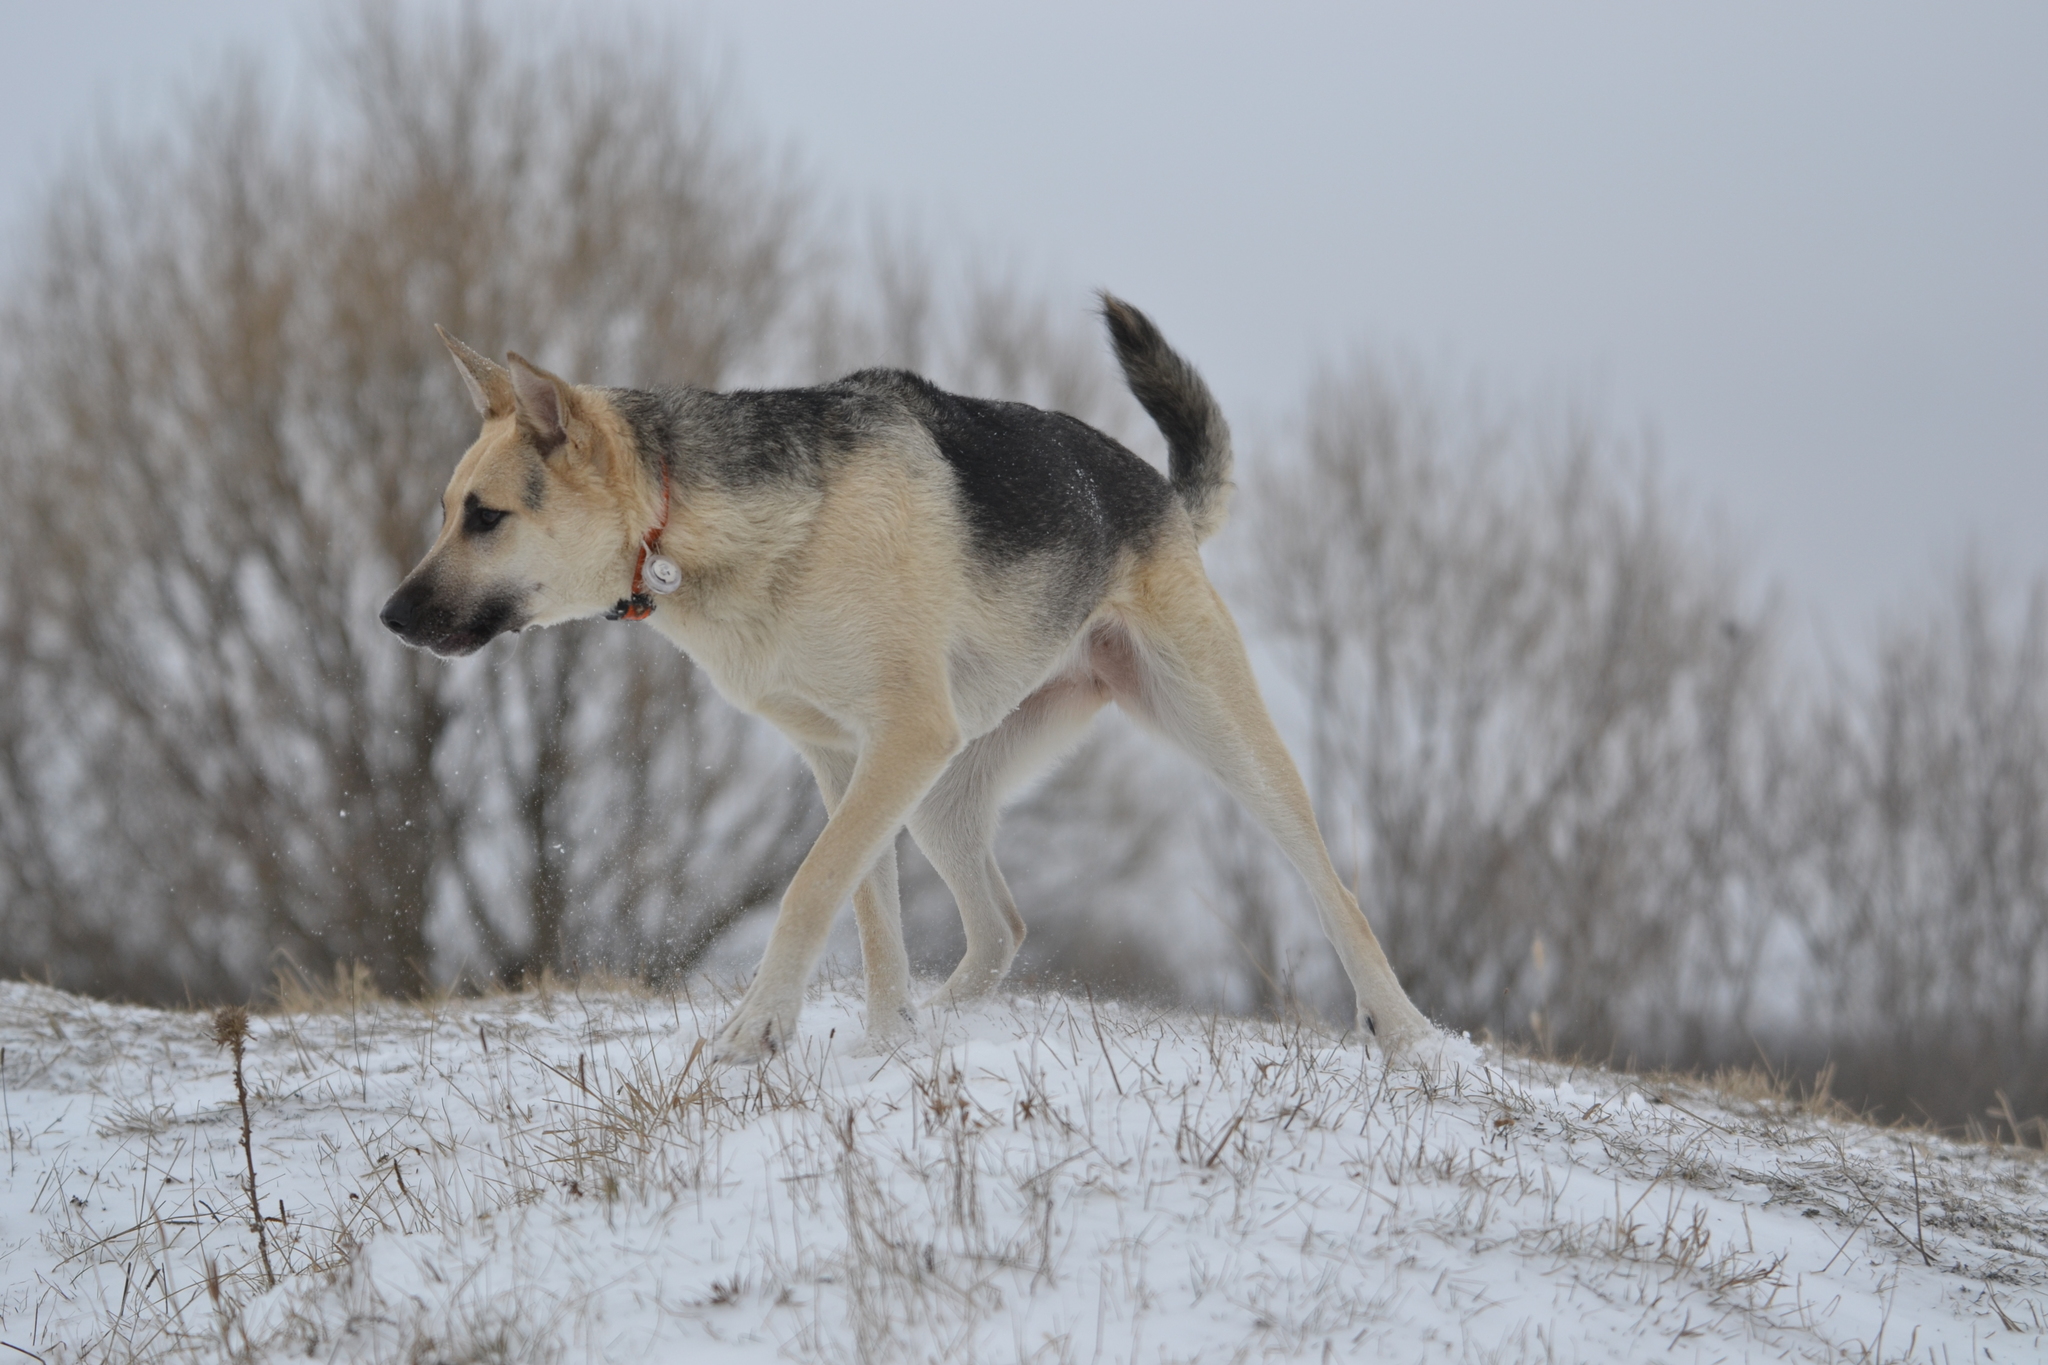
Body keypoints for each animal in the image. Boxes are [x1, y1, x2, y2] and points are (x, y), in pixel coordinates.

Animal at [387, 296, 1441, 1064]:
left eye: (485, 517)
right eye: (445, 511)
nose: (389, 618)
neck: (692, 524)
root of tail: (1161, 495)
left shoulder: (898, 740)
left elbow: (811, 887)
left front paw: (755, 1032)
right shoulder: (845, 759)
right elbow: (872, 919)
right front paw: (886, 1047)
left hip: (1219, 738)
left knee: (1334, 890)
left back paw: (1408, 1035)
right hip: (943, 792)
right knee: (1003, 925)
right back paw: (944, 1020)